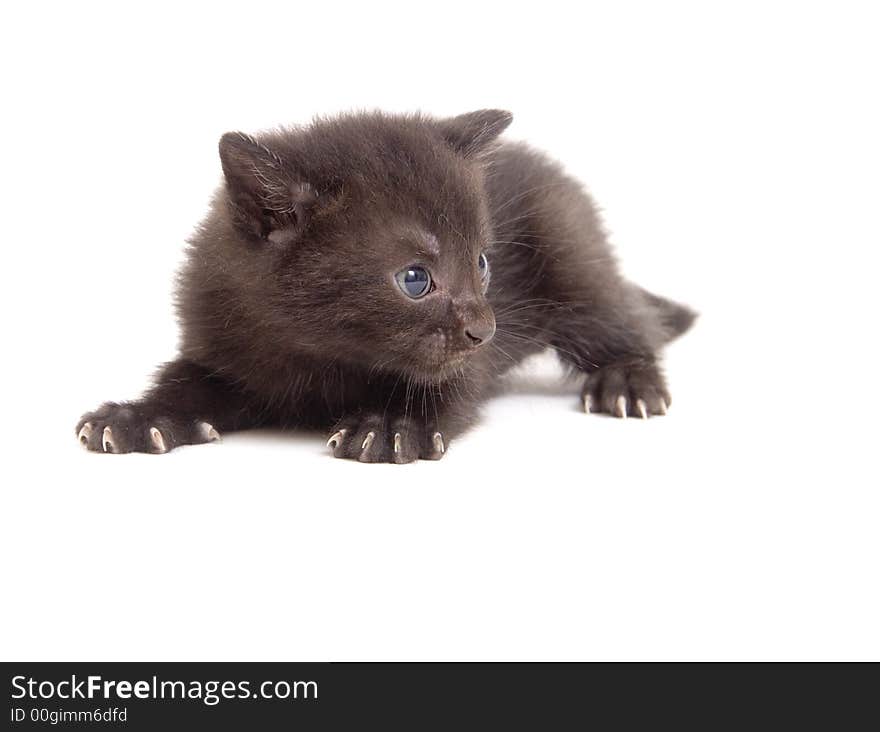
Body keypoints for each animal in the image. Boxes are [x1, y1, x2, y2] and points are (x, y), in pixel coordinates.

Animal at [75, 108, 696, 464]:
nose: (485, 328)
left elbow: (444, 385)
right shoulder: (220, 345)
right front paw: (136, 417)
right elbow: (183, 382)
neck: (322, 355)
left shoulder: (464, 363)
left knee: (620, 318)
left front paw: (395, 425)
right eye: (415, 278)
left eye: (483, 263)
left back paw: (628, 384)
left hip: (572, 252)